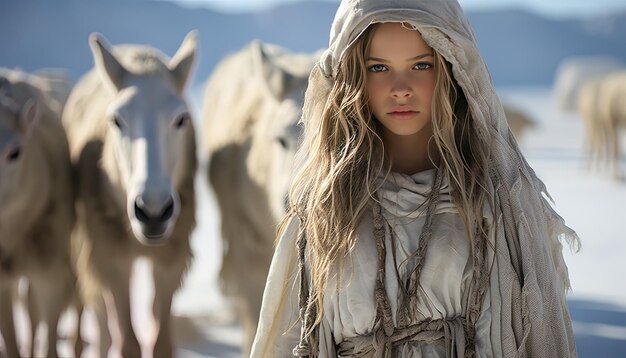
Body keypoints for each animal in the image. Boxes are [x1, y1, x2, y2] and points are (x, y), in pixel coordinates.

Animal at [61, 32, 197, 356]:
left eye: (181, 119)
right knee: (97, 320)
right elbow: (128, 343)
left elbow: (162, 344)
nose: (153, 212)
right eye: (116, 120)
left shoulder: (172, 258)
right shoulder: (110, 259)